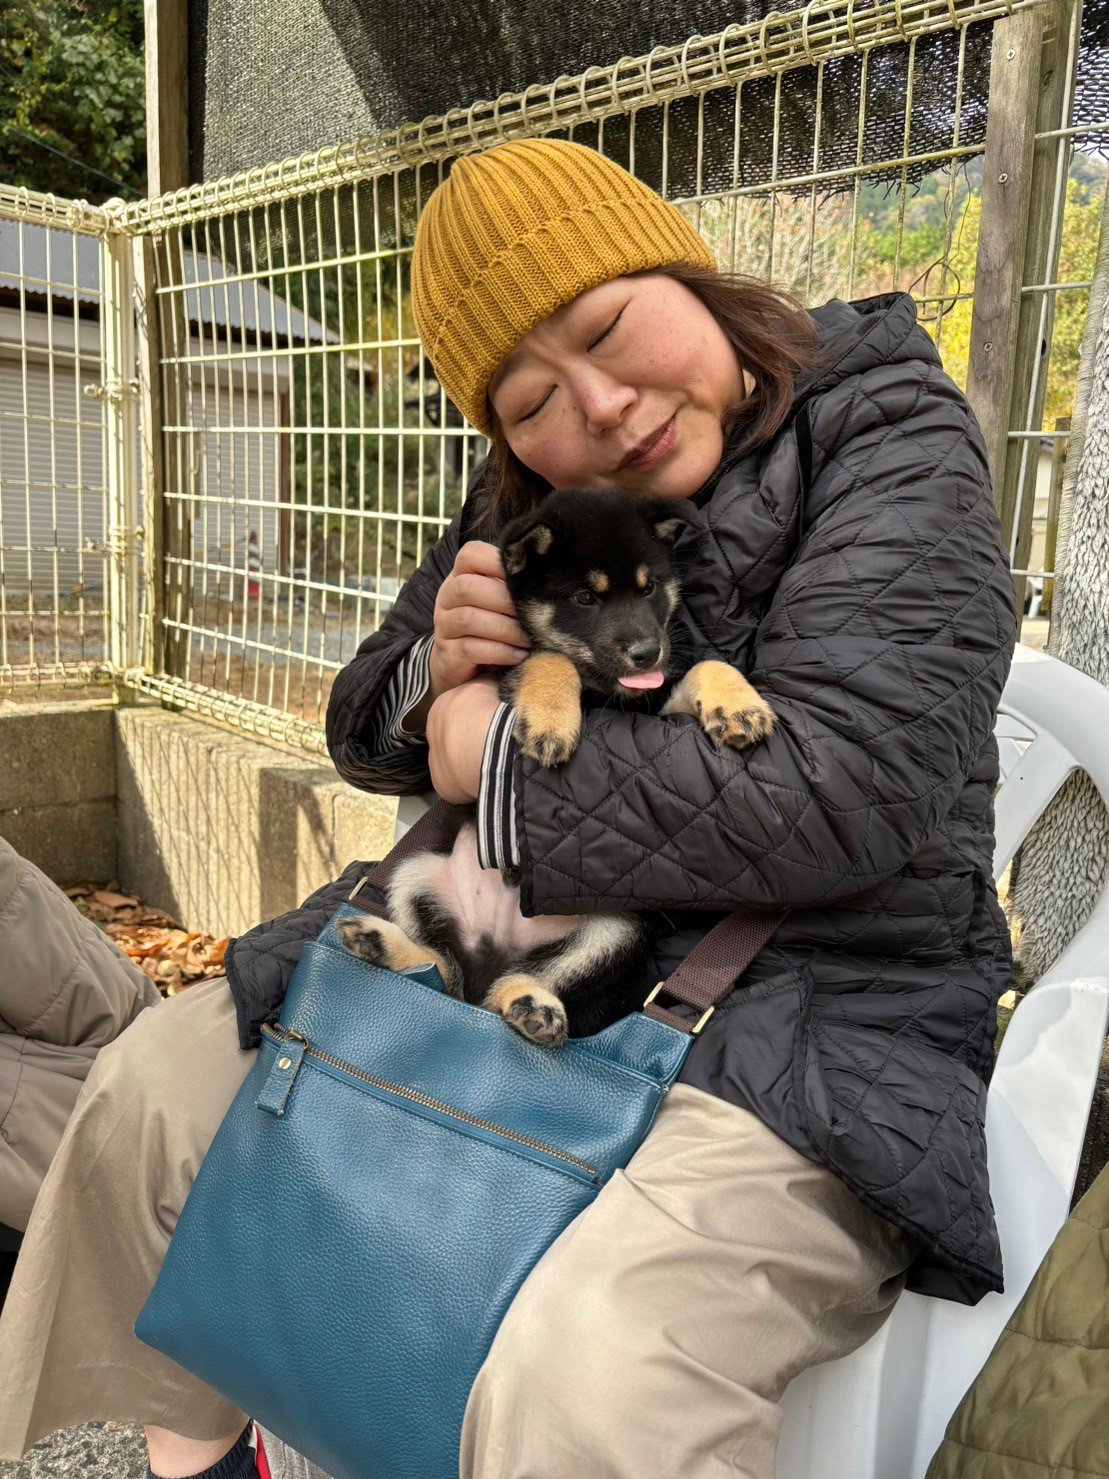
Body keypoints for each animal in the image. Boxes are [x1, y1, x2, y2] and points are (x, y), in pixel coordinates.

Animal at [337, 489, 776, 1047]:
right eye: (585, 599)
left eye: (649, 588)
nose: (647, 652)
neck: (600, 690)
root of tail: (495, 948)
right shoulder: (507, 672)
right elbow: (549, 658)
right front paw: (550, 720)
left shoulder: (654, 705)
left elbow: (704, 665)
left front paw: (741, 706)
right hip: (416, 875)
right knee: (448, 968)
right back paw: (380, 940)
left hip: (613, 930)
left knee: (509, 980)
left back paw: (532, 1004)